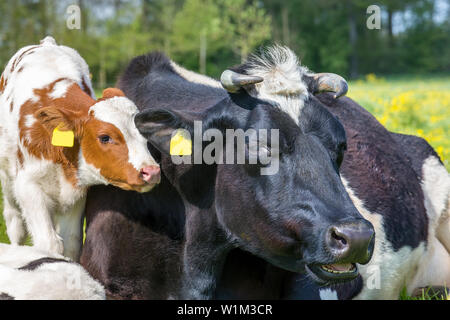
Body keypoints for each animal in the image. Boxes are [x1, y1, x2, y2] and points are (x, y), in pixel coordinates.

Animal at [0, 37, 161, 262]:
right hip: (7, 179)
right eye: (105, 137)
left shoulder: (77, 194)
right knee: (15, 223)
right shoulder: (28, 188)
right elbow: (49, 243)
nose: (151, 172)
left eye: (143, 133)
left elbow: (71, 243)